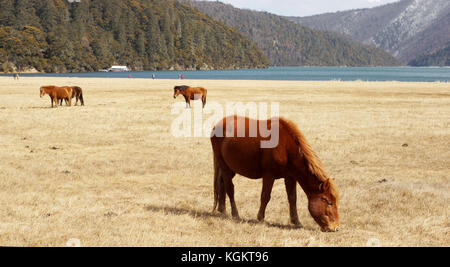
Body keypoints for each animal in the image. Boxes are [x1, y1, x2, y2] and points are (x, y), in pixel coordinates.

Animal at [211, 116, 342, 233]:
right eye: (329, 202)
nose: (336, 227)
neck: (286, 147)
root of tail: (217, 125)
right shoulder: (269, 175)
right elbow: (265, 196)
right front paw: (260, 218)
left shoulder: (290, 177)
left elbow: (292, 198)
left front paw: (296, 221)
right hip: (225, 167)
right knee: (230, 189)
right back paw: (235, 214)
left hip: (230, 169)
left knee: (222, 184)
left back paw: (222, 210)